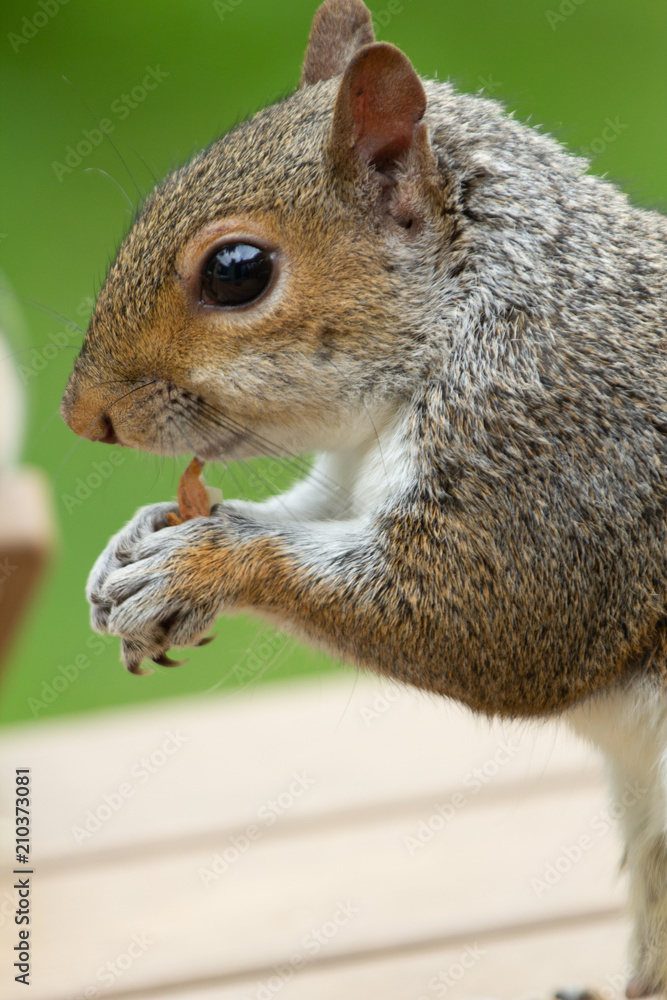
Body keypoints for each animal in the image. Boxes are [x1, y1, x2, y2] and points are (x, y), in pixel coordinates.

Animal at [61, 1, 667, 994]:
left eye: (236, 270)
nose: (84, 417)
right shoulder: (342, 476)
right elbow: (297, 519)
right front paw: (131, 551)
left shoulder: (555, 460)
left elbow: (486, 622)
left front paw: (197, 564)